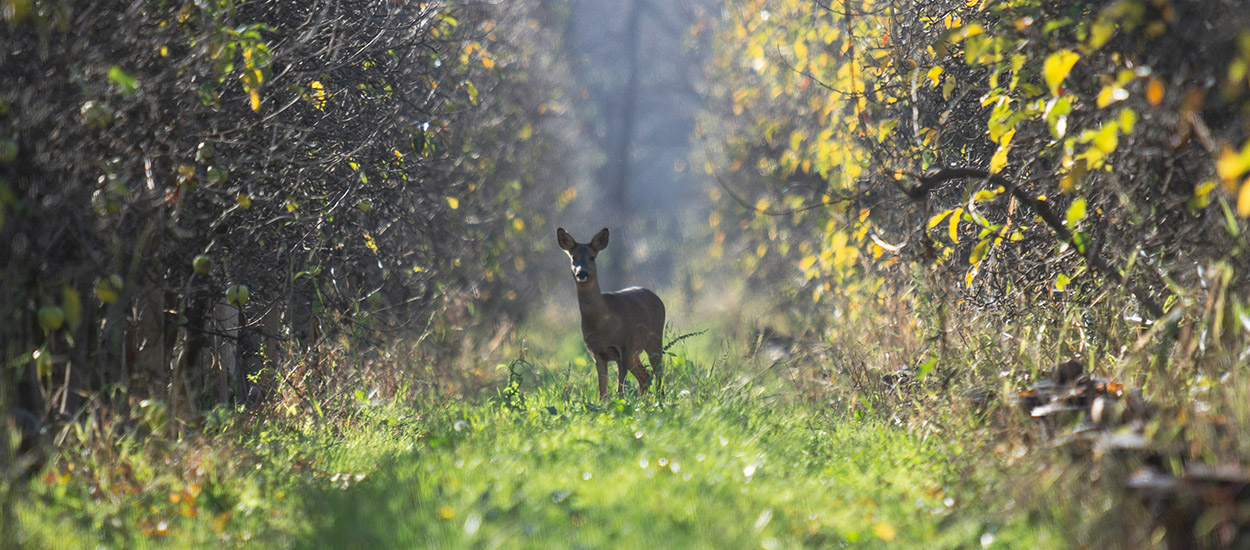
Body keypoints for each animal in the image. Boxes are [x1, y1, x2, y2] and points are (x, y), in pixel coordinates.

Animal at [557, 227, 665, 400]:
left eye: (592, 257)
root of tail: (657, 298)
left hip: (655, 339)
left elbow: (620, 391)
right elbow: (603, 393)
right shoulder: (597, 354)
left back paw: (660, 401)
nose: (581, 273)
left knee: (658, 374)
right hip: (635, 353)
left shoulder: (623, 348)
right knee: (645, 377)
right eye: (573, 257)